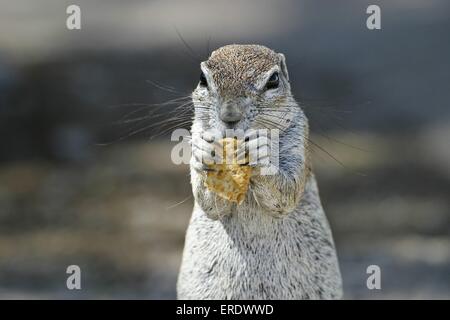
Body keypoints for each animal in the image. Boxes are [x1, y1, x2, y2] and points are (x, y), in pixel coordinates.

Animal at [176, 43, 342, 298]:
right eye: (202, 79)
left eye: (273, 80)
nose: (230, 116)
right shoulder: (196, 131)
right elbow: (210, 205)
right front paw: (206, 152)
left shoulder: (298, 137)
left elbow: (287, 194)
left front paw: (259, 153)